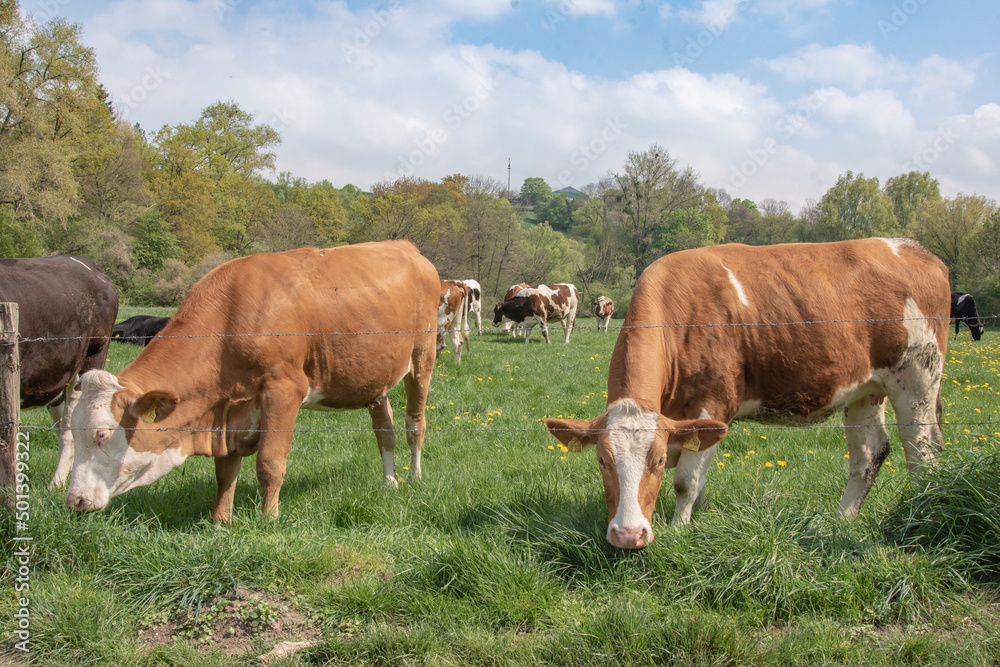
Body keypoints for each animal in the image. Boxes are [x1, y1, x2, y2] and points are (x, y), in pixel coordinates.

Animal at [62, 243, 438, 524]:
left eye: (102, 433)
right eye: (73, 431)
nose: (74, 500)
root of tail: (406, 247)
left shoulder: (284, 389)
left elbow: (269, 463)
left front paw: (269, 520)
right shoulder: (229, 408)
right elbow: (225, 470)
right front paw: (220, 520)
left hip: (423, 358)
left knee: (414, 424)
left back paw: (415, 477)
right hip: (375, 377)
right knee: (384, 430)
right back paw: (390, 482)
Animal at [544, 237, 948, 552]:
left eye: (657, 461)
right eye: (602, 460)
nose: (629, 535)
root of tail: (914, 249)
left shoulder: (711, 406)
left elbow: (686, 481)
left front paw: (678, 530)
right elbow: (700, 479)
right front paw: (698, 517)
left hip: (918, 377)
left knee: (922, 452)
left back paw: (918, 515)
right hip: (864, 390)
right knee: (869, 454)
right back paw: (839, 522)